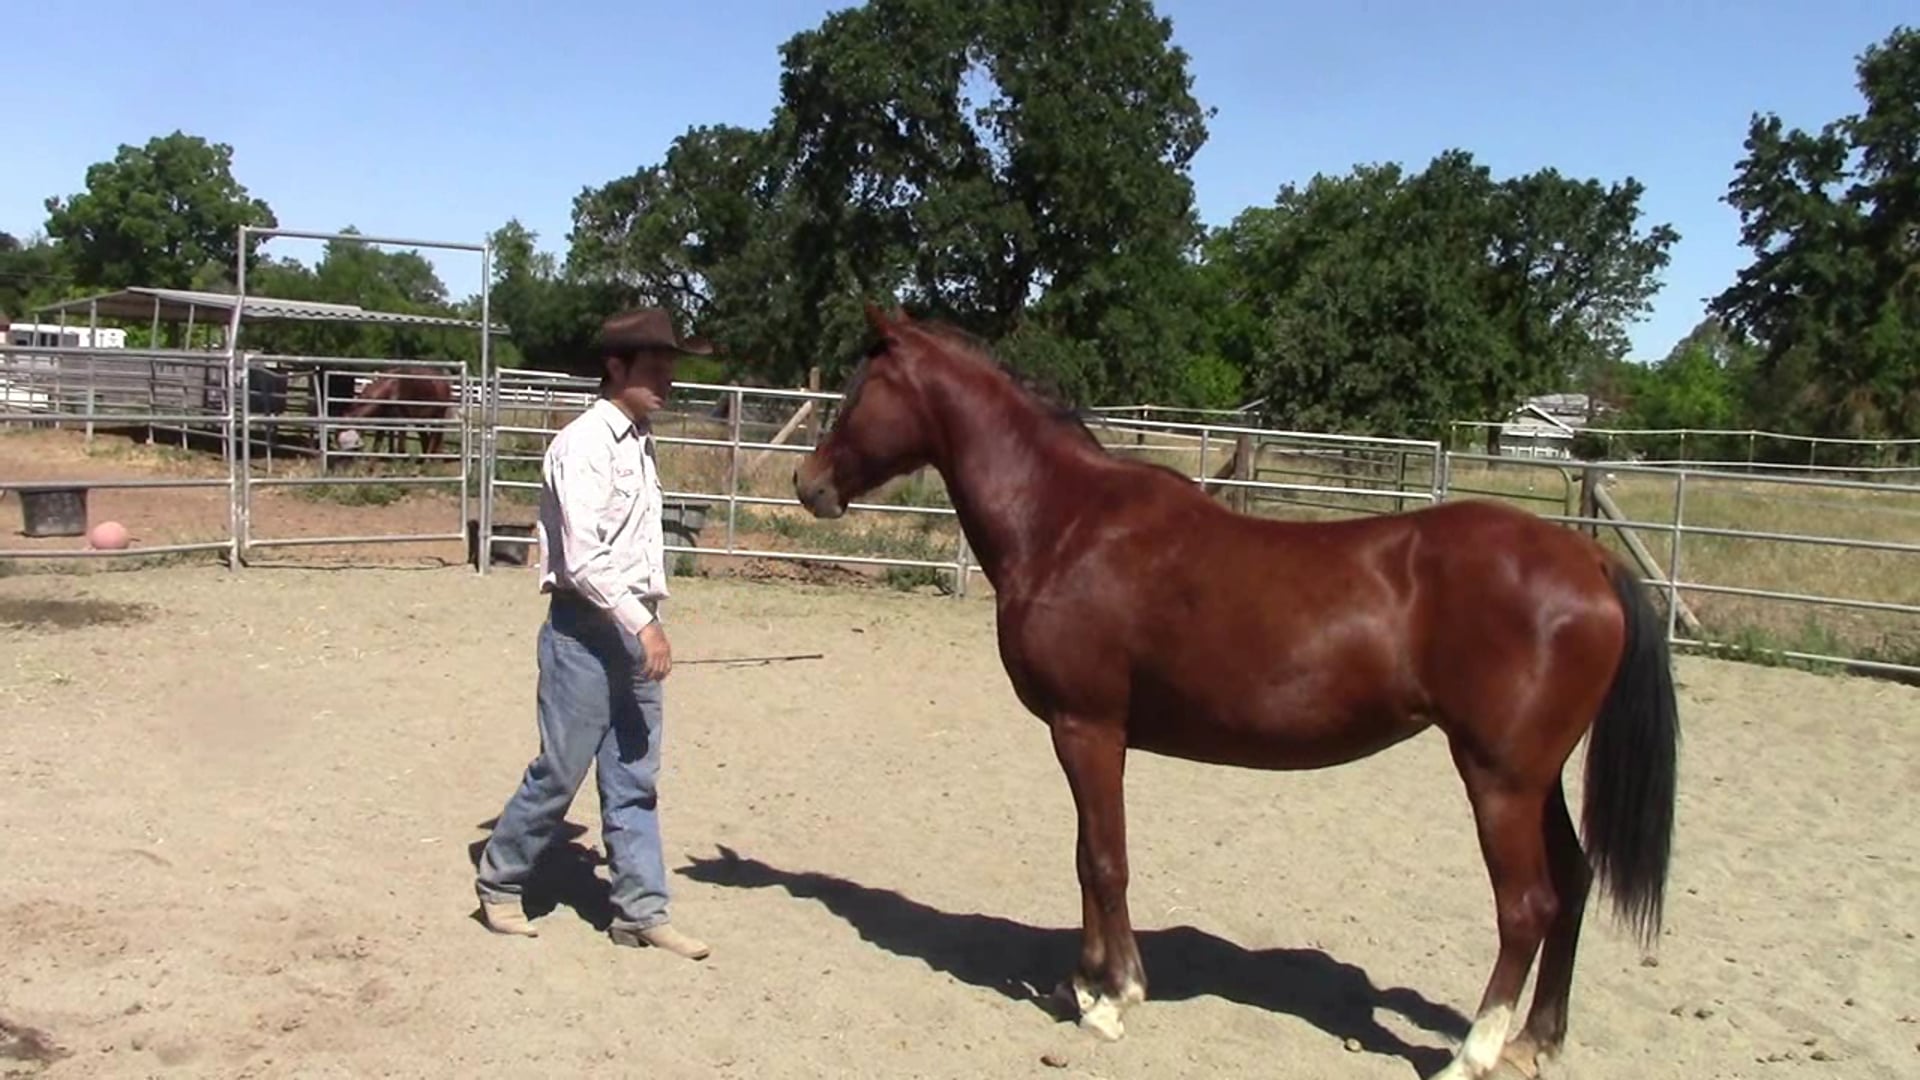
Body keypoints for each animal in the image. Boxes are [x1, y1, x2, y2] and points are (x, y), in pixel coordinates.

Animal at [792, 304, 1680, 1080]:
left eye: (859, 390)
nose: (807, 484)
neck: (1067, 523)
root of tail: (1588, 558)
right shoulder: (1082, 733)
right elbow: (1085, 857)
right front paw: (1082, 983)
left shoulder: (1087, 727)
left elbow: (1106, 860)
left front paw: (1115, 999)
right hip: (1537, 779)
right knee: (1573, 885)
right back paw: (1536, 1042)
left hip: (1499, 780)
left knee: (1526, 905)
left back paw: (1474, 1054)